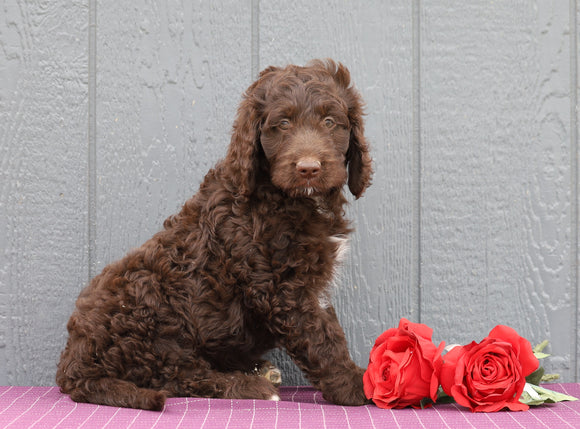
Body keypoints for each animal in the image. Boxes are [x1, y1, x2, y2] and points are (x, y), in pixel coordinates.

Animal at [56, 58, 374, 410]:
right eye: (283, 124)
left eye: (330, 122)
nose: (308, 168)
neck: (289, 198)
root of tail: (73, 362)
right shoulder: (283, 287)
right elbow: (322, 338)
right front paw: (356, 385)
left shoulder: (309, 287)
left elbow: (328, 326)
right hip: (147, 299)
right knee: (178, 375)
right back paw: (250, 385)